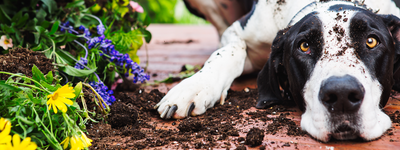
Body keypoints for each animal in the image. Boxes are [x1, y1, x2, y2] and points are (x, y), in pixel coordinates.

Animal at [153, 0, 400, 142]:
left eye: (371, 41)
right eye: (304, 46)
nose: (341, 96)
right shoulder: (238, 32)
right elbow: (229, 52)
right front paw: (194, 87)